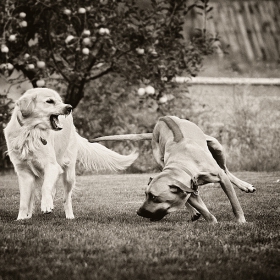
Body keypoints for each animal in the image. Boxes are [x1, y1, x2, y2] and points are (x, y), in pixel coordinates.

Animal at [4, 87, 138, 219]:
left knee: (66, 198)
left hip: (69, 175)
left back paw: (69, 215)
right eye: (49, 101)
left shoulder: (52, 166)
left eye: (60, 100)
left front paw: (46, 205)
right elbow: (24, 201)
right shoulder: (24, 173)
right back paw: (29, 215)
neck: (30, 132)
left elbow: (45, 187)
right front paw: (21, 218)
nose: (69, 107)